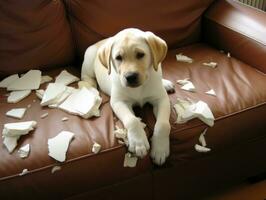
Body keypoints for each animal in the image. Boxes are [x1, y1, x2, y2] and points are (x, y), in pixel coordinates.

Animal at [81, 28, 175, 166]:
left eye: (140, 54)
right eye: (118, 58)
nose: (130, 77)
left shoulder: (161, 99)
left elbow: (163, 125)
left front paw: (160, 149)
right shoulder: (119, 102)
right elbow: (132, 120)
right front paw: (138, 142)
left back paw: (165, 83)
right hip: (88, 62)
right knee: (86, 77)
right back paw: (92, 89)